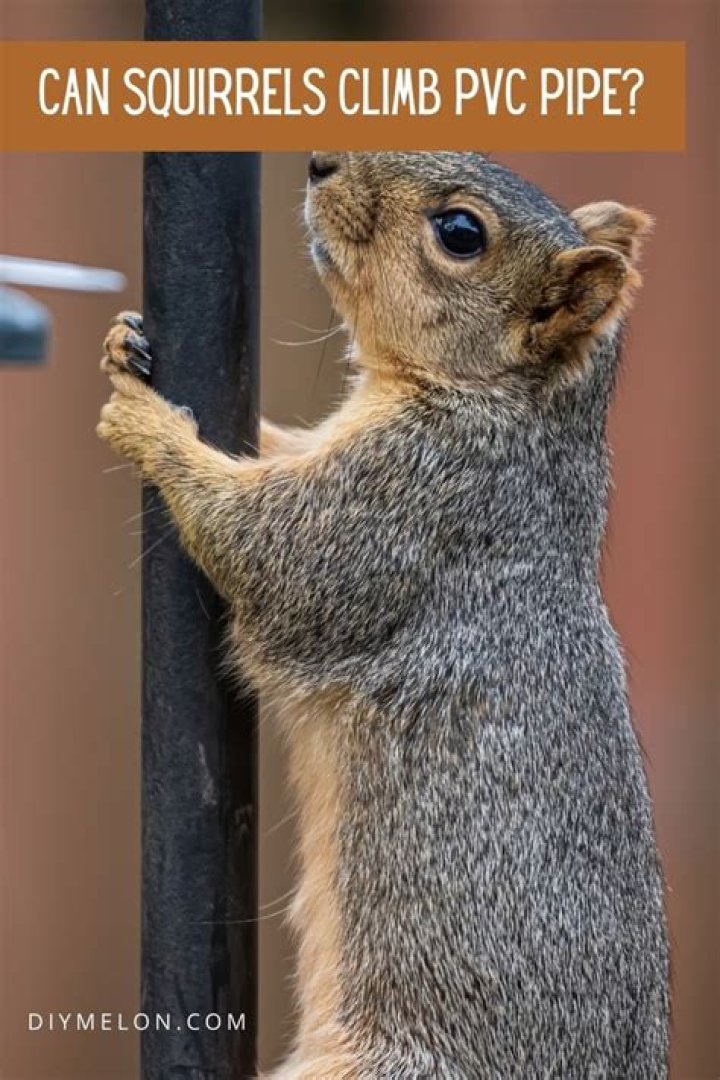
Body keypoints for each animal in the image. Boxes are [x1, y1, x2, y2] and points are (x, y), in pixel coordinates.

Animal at [99, 151, 669, 1079]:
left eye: (461, 233)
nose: (321, 161)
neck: (508, 406)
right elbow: (276, 449)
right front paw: (124, 345)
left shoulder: (409, 506)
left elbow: (268, 551)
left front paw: (147, 423)